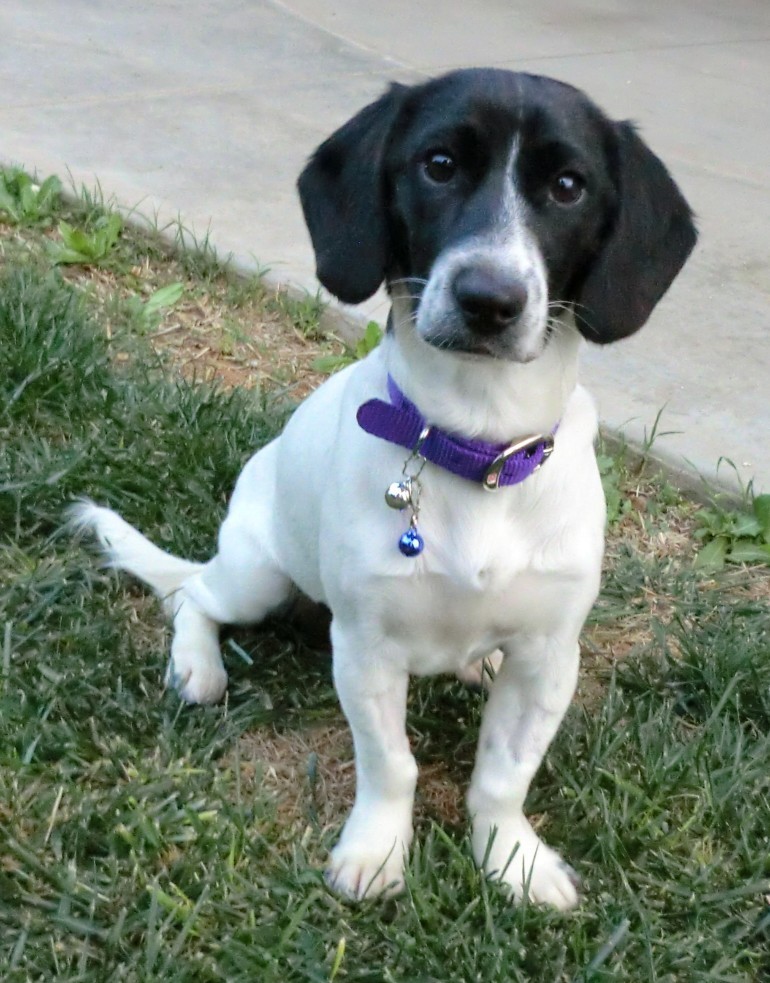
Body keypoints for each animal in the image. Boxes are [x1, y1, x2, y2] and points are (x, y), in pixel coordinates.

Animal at [73, 69, 696, 912]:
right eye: (438, 164)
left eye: (568, 186)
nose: (489, 298)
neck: (476, 448)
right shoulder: (365, 647)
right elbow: (391, 764)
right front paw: (376, 851)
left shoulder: (549, 654)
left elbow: (504, 774)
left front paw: (511, 858)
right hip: (257, 576)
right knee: (195, 595)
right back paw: (197, 665)